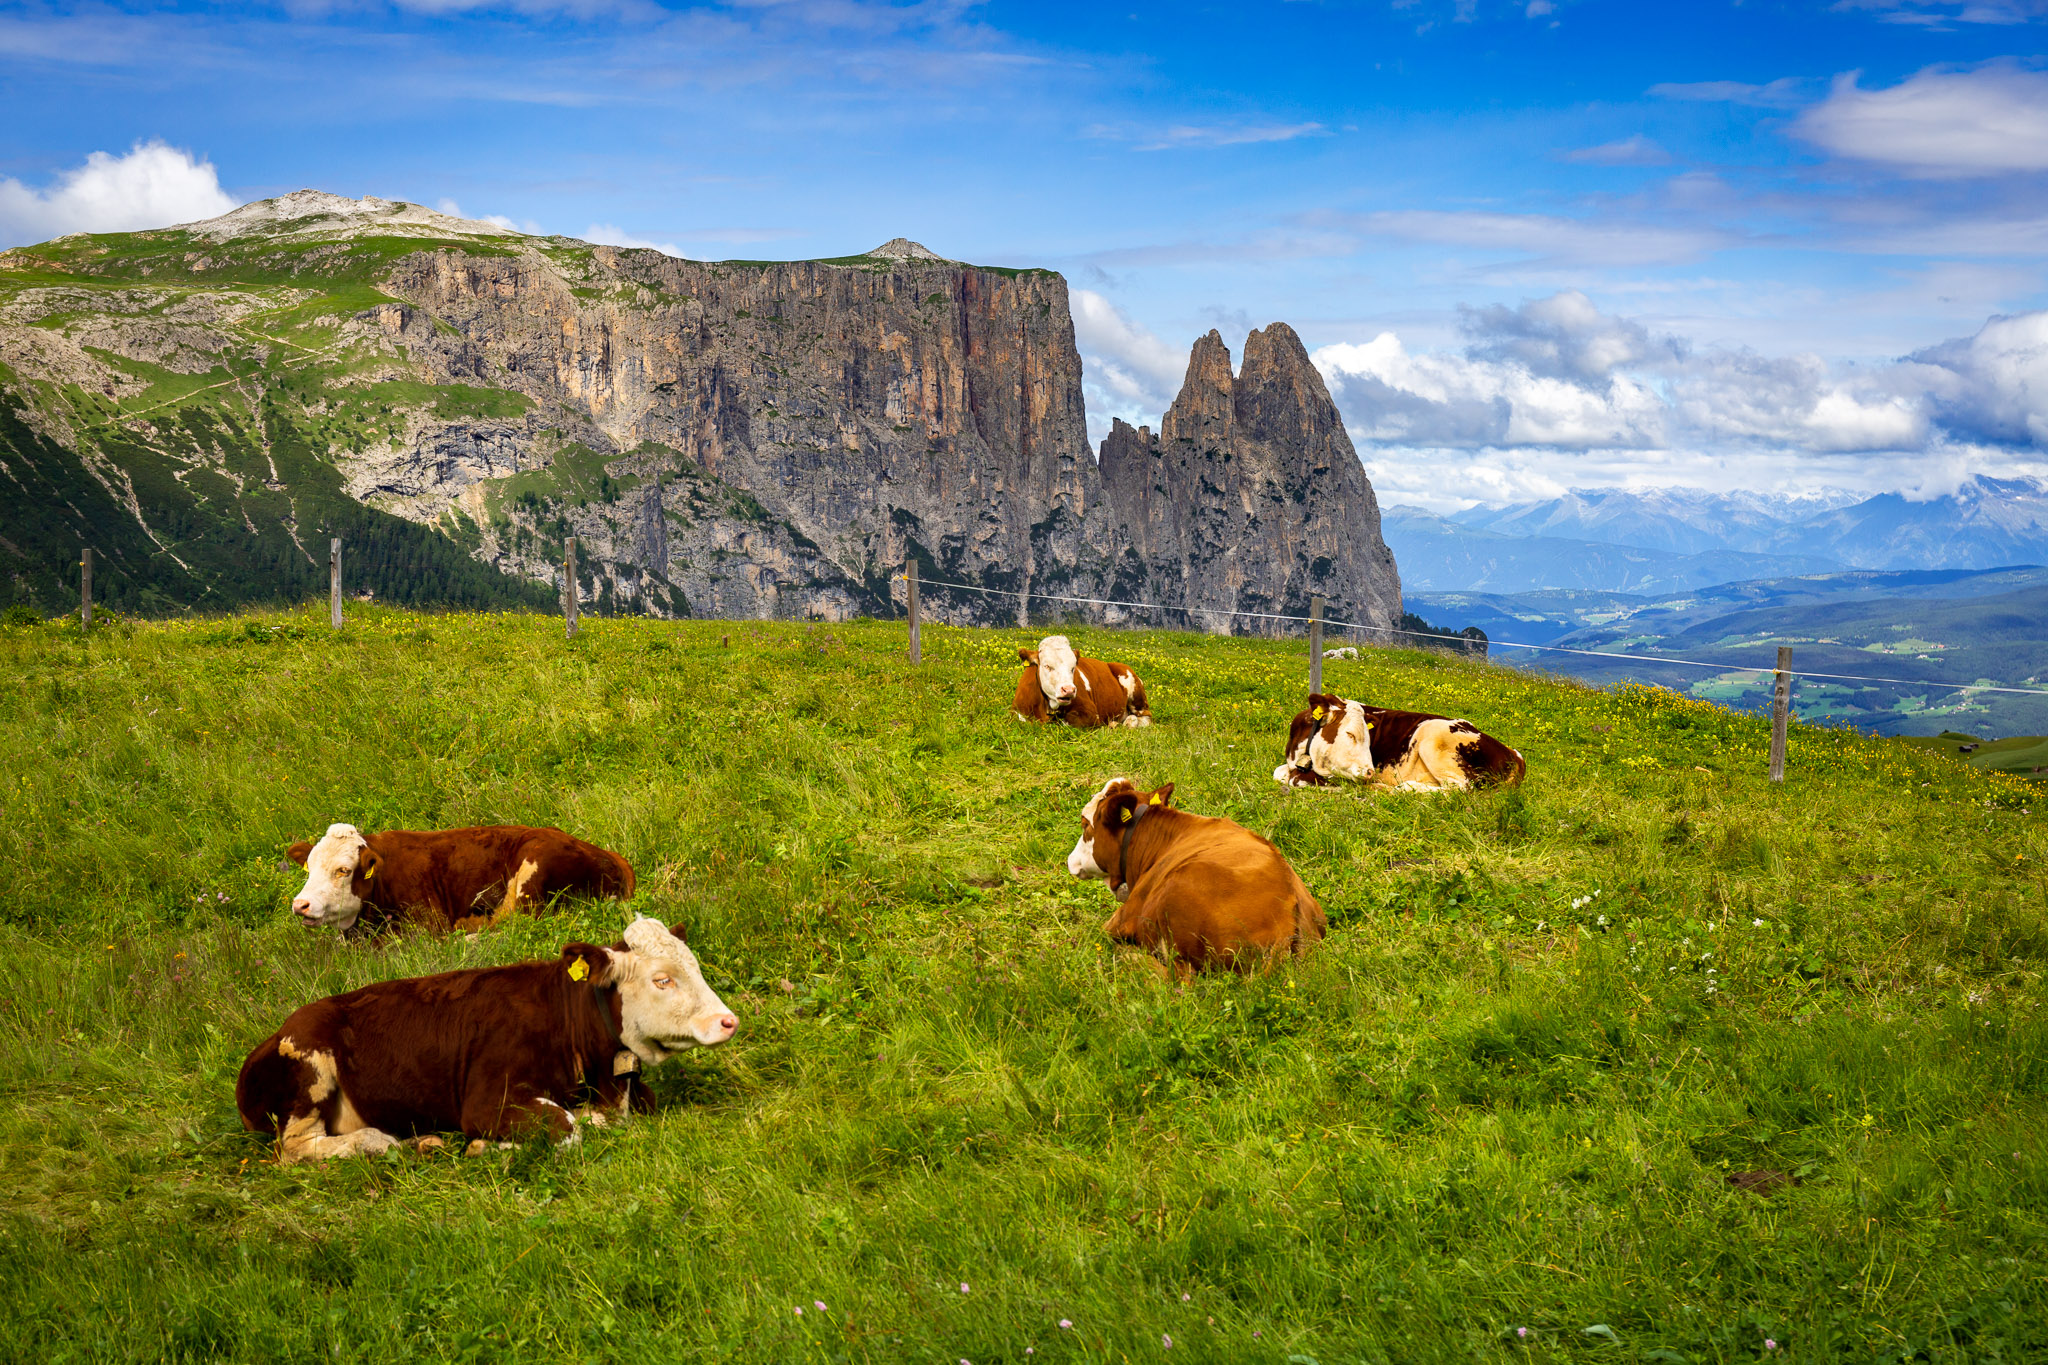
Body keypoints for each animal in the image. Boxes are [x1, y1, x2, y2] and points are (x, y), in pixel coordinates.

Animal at [239, 916, 737, 1162]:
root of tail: (276, 1031)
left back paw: (422, 1143)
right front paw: (487, 1148)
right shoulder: (484, 1102)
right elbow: (567, 1128)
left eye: (695, 966)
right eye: (662, 980)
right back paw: (377, 1143)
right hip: (309, 1070)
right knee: (296, 1150)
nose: (728, 1021)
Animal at [1011, 634, 1155, 732]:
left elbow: (1066, 722)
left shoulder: (1091, 714)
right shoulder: (1016, 711)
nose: (1069, 690)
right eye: (1047, 666)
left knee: (1146, 717)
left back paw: (1129, 722)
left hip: (1136, 696)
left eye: (1073, 667)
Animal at [1269, 695, 1531, 789]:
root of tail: (1514, 754)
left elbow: (1296, 778)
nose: (1370, 773)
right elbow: (1279, 772)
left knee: (1459, 787)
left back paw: (1404, 787)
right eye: (1350, 734)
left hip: (1433, 735)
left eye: (1367, 738)